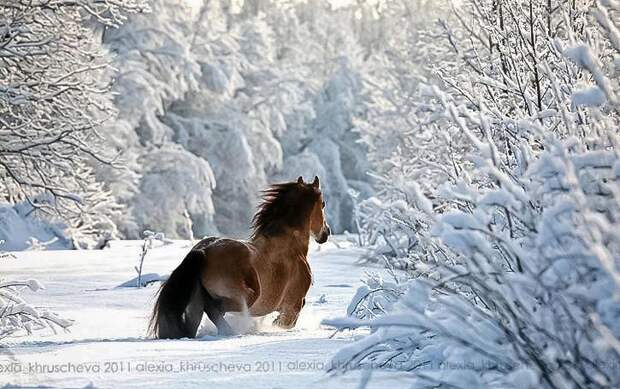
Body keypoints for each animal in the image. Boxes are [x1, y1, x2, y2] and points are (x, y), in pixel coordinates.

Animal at [149, 175, 330, 336]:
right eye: (323, 204)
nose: (326, 233)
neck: (291, 247)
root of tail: (203, 252)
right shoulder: (293, 305)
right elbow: (285, 323)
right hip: (247, 297)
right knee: (214, 309)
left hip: (198, 302)